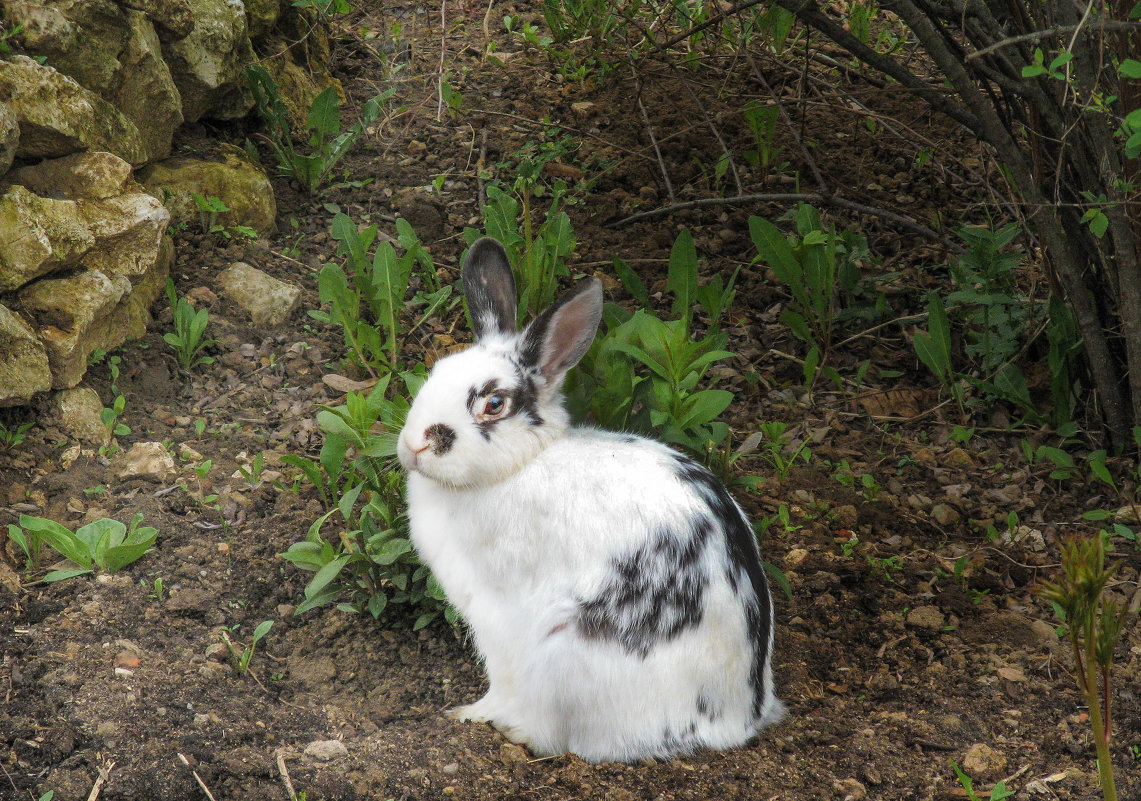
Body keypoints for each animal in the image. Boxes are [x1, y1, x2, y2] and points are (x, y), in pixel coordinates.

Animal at [397, 238, 780, 766]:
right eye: (435, 374)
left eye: (493, 404)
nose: (414, 444)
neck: (521, 465)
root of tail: (734, 721)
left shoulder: (497, 617)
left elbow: (500, 681)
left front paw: (472, 714)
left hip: (562, 654)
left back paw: (514, 728)